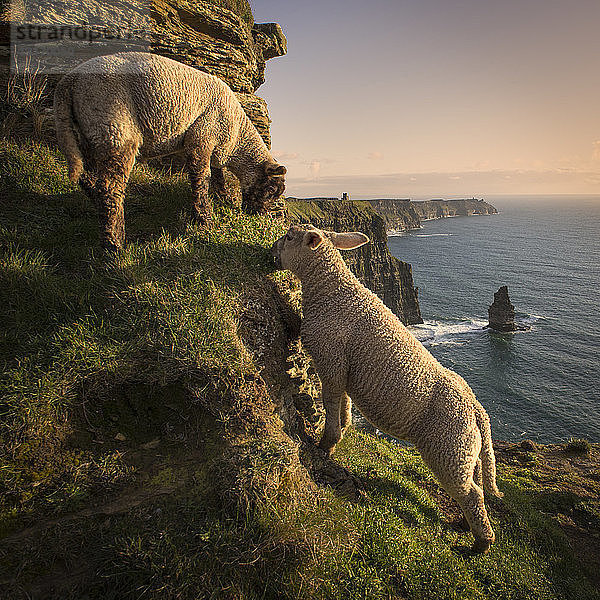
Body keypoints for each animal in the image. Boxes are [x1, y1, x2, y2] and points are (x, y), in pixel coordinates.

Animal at [270, 225, 502, 552]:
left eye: (290, 237)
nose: (270, 252)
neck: (332, 292)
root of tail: (477, 410)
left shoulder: (331, 358)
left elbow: (330, 401)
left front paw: (327, 444)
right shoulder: (343, 368)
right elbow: (344, 403)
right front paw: (344, 427)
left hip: (449, 449)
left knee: (471, 494)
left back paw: (481, 543)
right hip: (467, 452)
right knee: (475, 485)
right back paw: (466, 525)